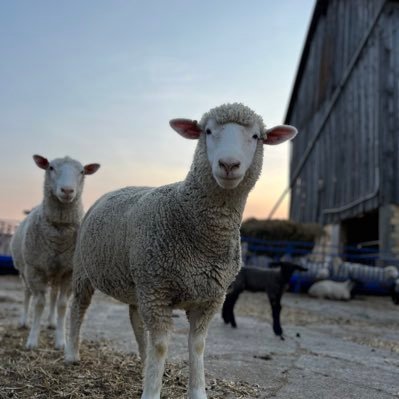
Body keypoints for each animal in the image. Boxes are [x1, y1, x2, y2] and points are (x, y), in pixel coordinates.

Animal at [9, 156, 100, 350]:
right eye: (50, 167)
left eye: (82, 171)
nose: (67, 190)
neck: (59, 235)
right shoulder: (35, 270)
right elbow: (39, 304)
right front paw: (32, 340)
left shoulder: (68, 272)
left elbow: (62, 305)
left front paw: (60, 340)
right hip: (24, 270)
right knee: (27, 293)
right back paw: (23, 321)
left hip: (56, 272)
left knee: (53, 295)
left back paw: (51, 322)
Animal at [65, 104, 296, 399]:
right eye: (207, 131)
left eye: (257, 136)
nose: (228, 164)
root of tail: (114, 190)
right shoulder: (157, 290)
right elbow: (162, 345)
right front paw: (151, 391)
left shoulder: (209, 298)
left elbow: (197, 345)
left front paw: (196, 391)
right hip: (86, 271)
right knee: (77, 308)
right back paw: (72, 353)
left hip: (137, 282)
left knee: (136, 321)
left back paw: (143, 363)